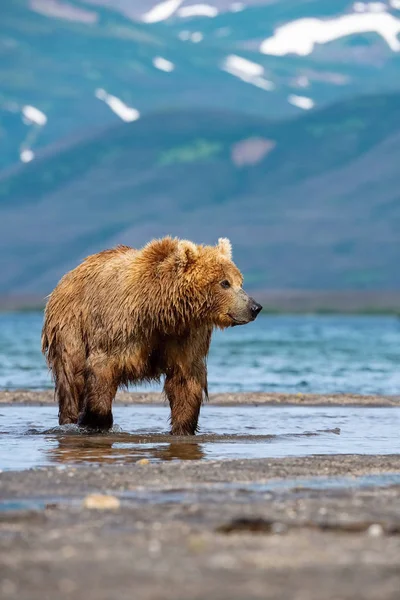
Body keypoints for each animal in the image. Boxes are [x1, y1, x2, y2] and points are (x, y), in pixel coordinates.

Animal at [42, 237, 264, 434]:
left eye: (240, 282)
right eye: (225, 283)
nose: (255, 307)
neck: (159, 313)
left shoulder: (185, 336)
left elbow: (186, 381)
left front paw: (183, 428)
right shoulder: (120, 330)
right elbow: (102, 371)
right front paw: (94, 421)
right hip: (71, 326)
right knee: (71, 375)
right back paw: (70, 419)